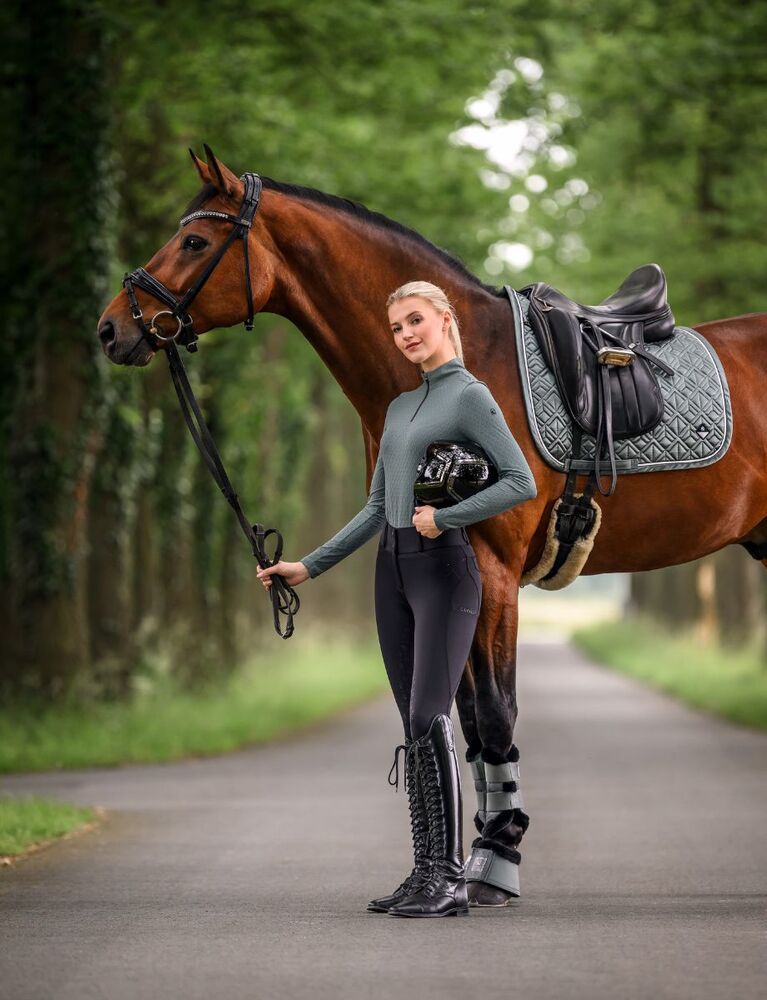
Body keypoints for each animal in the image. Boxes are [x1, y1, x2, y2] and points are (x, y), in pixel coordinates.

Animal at [97, 145, 767, 907]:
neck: (465, 360)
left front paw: (495, 864)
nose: (112, 328)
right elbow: (468, 719)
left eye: (194, 243)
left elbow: (496, 714)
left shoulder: (495, 575)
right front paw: (475, 859)